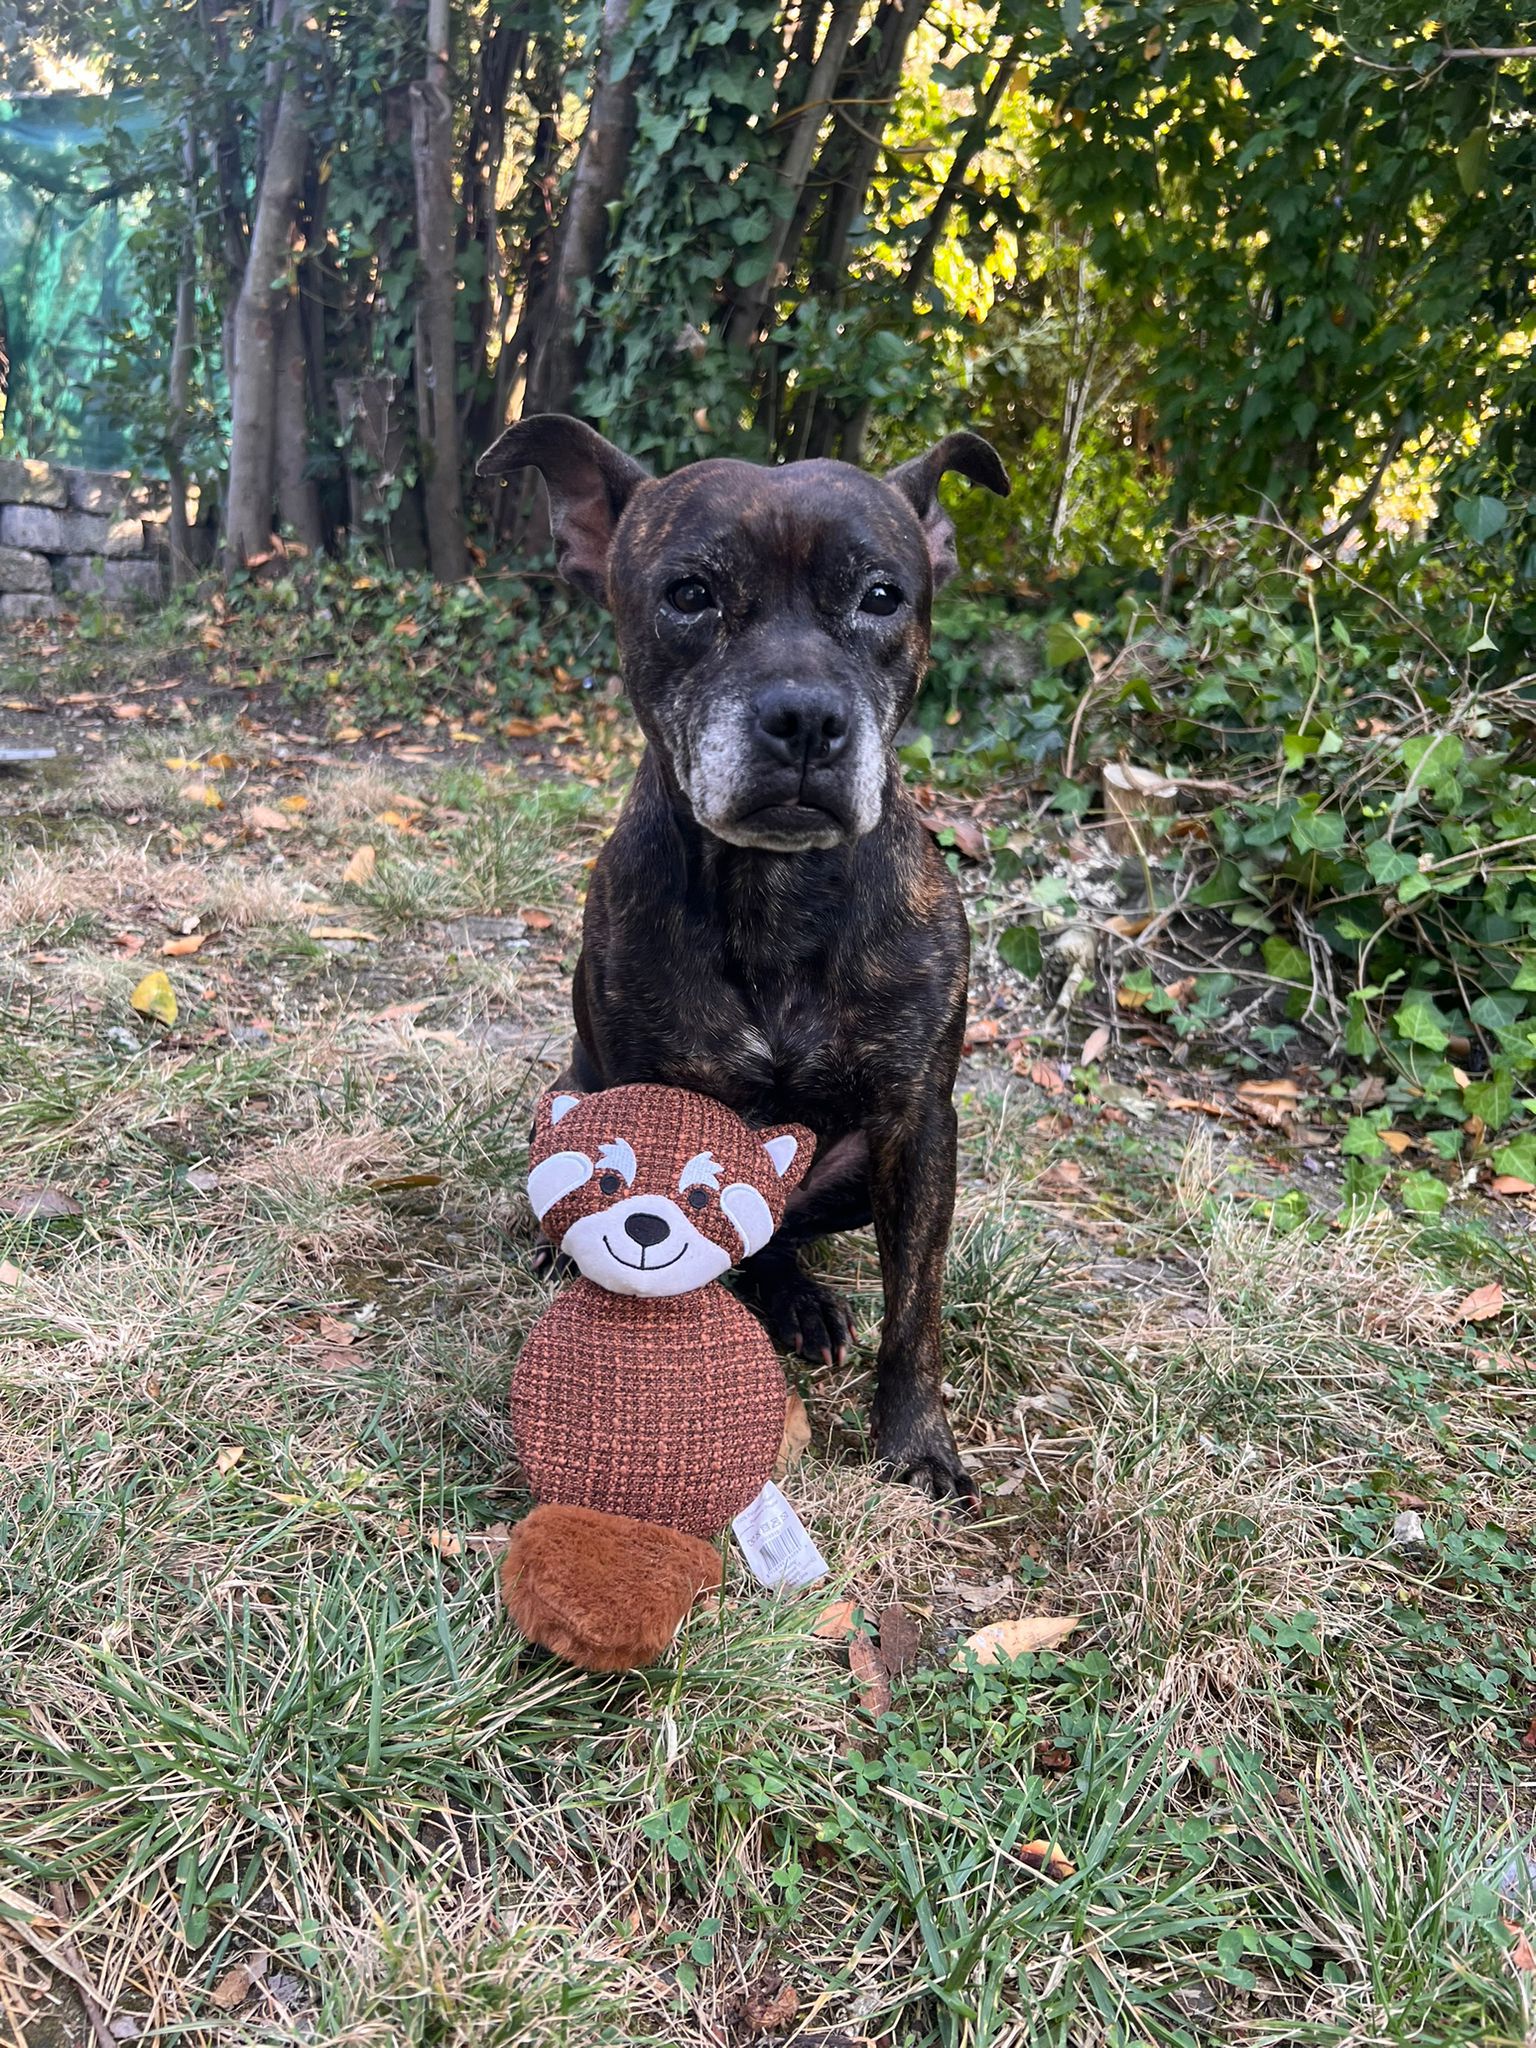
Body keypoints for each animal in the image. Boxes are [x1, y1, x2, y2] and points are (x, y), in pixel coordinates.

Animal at [479, 415, 1011, 1507]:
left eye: (881, 594)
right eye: (689, 593)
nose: (805, 716)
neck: (776, 891)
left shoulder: (921, 1127)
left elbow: (917, 1309)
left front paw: (917, 1441)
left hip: (850, 1173)